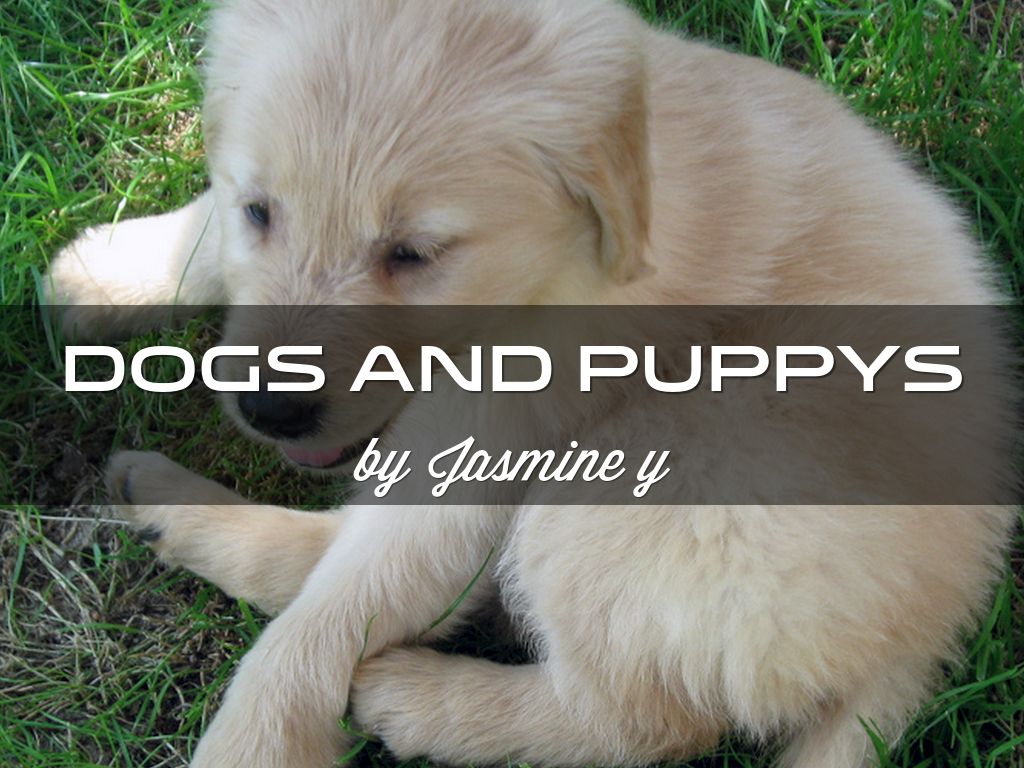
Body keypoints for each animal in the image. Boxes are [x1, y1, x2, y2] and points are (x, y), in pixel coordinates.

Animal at [45, 1, 1017, 766]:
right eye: (262, 210)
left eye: (414, 253)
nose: (271, 410)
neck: (554, 274)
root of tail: (942, 616)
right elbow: (205, 239)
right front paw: (102, 277)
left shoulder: (497, 429)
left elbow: (324, 629)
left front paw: (255, 744)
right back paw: (167, 504)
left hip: (656, 470)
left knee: (639, 721)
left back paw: (421, 700)